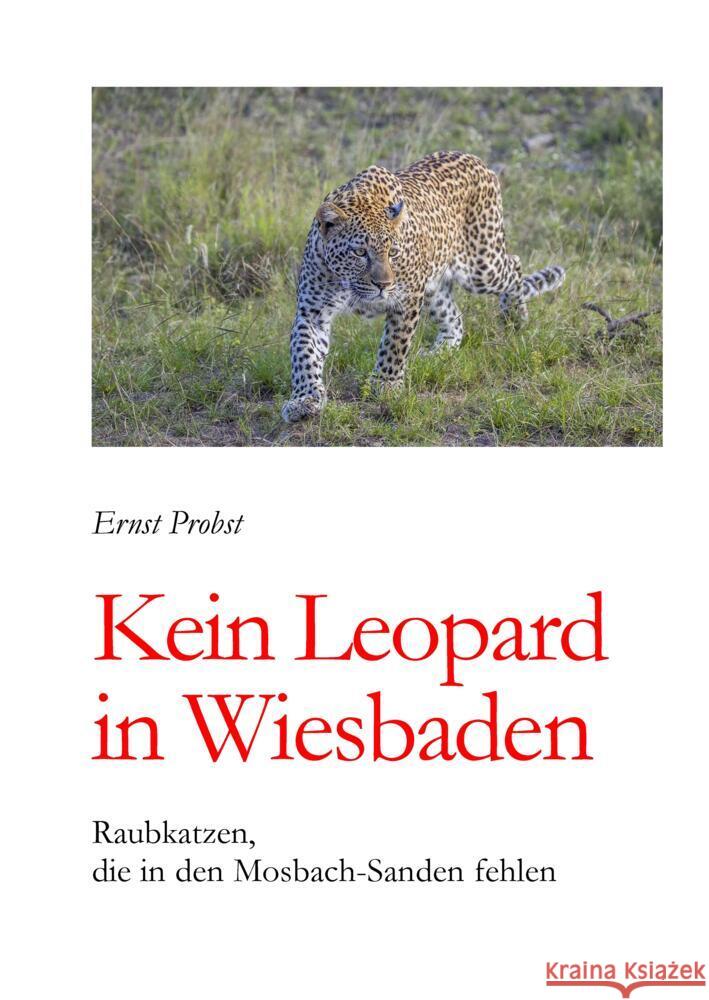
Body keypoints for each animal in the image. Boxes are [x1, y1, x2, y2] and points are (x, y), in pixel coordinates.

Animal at [282, 150, 565, 422]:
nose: (383, 284)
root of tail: (478, 161)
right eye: (360, 252)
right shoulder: (312, 311)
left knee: (514, 263)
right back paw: (438, 352)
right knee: (454, 319)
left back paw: (515, 316)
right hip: (435, 286)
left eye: (393, 253)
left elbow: (395, 344)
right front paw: (304, 399)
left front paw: (385, 384)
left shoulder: (406, 298)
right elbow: (304, 354)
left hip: (481, 267)